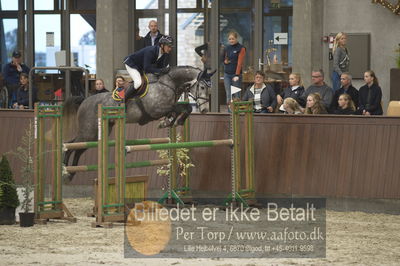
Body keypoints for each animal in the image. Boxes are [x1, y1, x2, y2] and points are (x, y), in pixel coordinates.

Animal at [62, 66, 214, 181]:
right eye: (202, 87)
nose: (205, 110)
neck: (169, 84)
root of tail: (84, 101)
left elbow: (185, 108)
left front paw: (172, 121)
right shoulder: (156, 109)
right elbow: (179, 108)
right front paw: (168, 122)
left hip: (95, 134)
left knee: (78, 149)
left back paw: (71, 173)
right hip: (88, 131)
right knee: (70, 146)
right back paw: (65, 171)